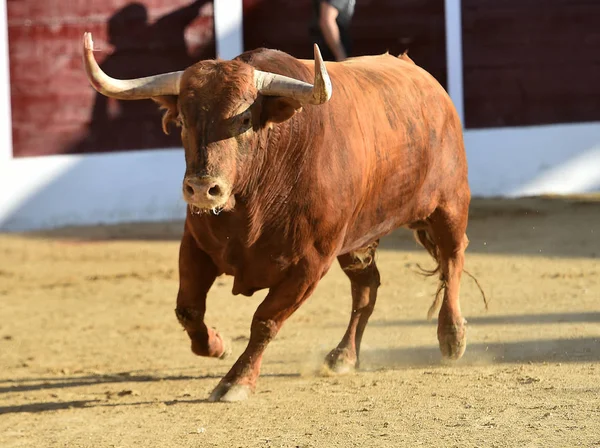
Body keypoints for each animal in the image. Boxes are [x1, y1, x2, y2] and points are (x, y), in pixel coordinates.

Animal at [83, 32, 478, 402]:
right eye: (182, 121)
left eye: (244, 118)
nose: (202, 188)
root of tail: (426, 81)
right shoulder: (195, 245)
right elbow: (189, 309)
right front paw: (216, 345)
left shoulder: (309, 264)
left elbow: (265, 320)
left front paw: (236, 382)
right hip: (358, 238)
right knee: (367, 289)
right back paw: (343, 356)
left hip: (449, 204)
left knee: (452, 258)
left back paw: (452, 337)